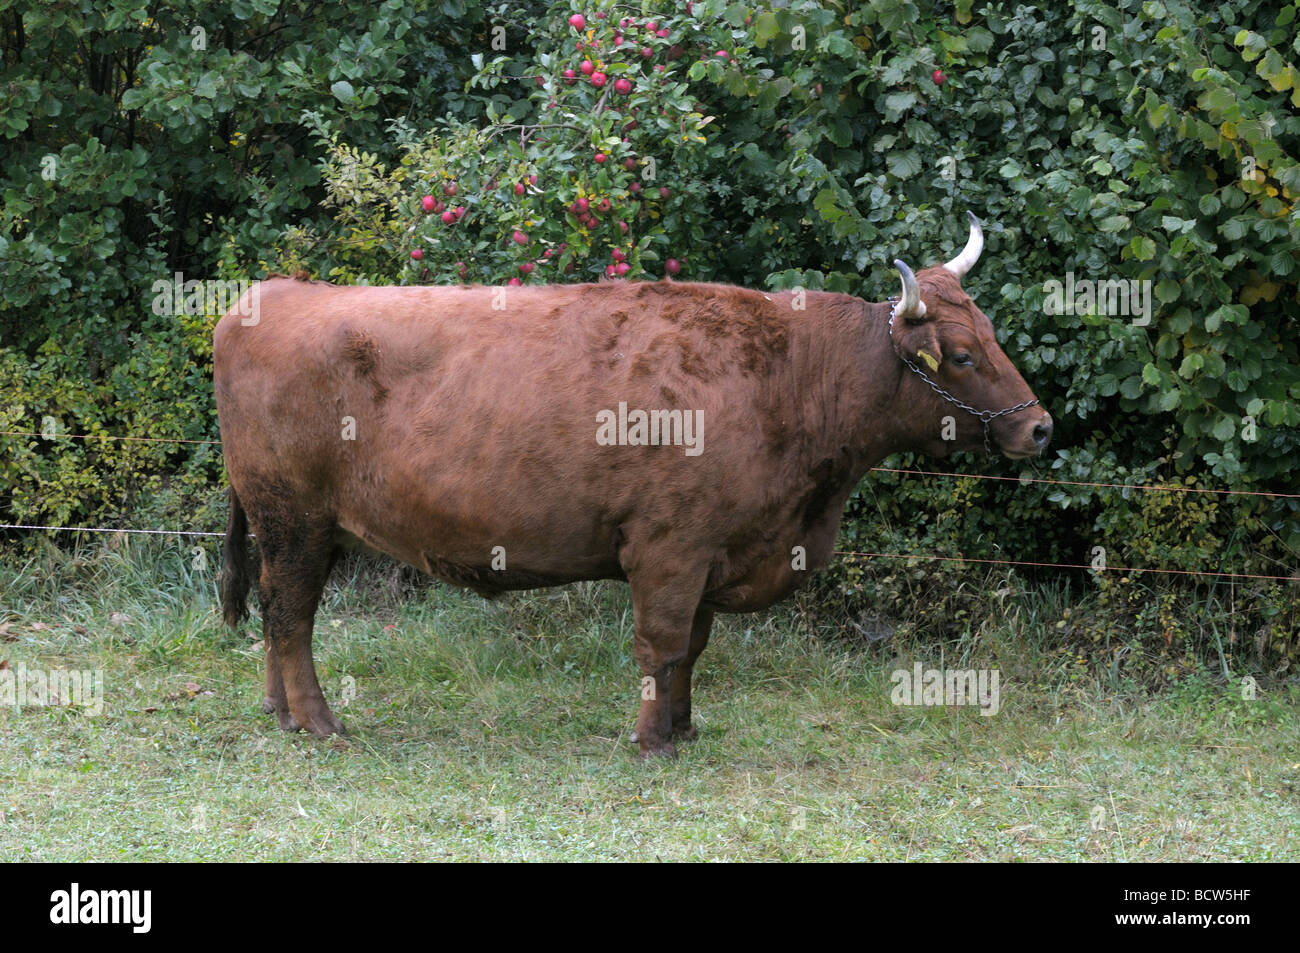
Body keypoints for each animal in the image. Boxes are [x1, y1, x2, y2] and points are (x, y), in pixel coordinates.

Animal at [210, 211, 1045, 754]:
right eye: (961, 355)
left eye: (992, 335)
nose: (1039, 427)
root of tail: (274, 292)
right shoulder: (669, 547)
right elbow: (663, 644)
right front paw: (651, 739)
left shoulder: (711, 551)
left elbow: (694, 649)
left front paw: (683, 727)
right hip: (292, 515)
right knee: (291, 615)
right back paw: (319, 723)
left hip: (305, 526)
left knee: (279, 611)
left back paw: (278, 710)